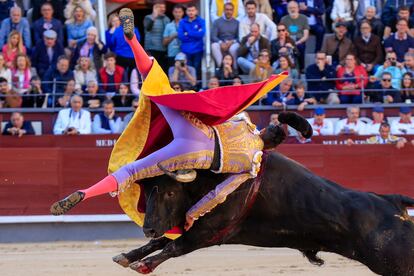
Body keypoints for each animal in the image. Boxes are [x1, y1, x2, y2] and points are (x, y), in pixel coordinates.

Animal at [114, 150, 414, 274]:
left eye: (169, 192)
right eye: (147, 192)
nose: (148, 227)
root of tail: (392, 201)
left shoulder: (211, 230)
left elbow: (175, 246)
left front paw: (143, 265)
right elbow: (162, 241)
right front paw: (126, 257)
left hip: (395, 260)